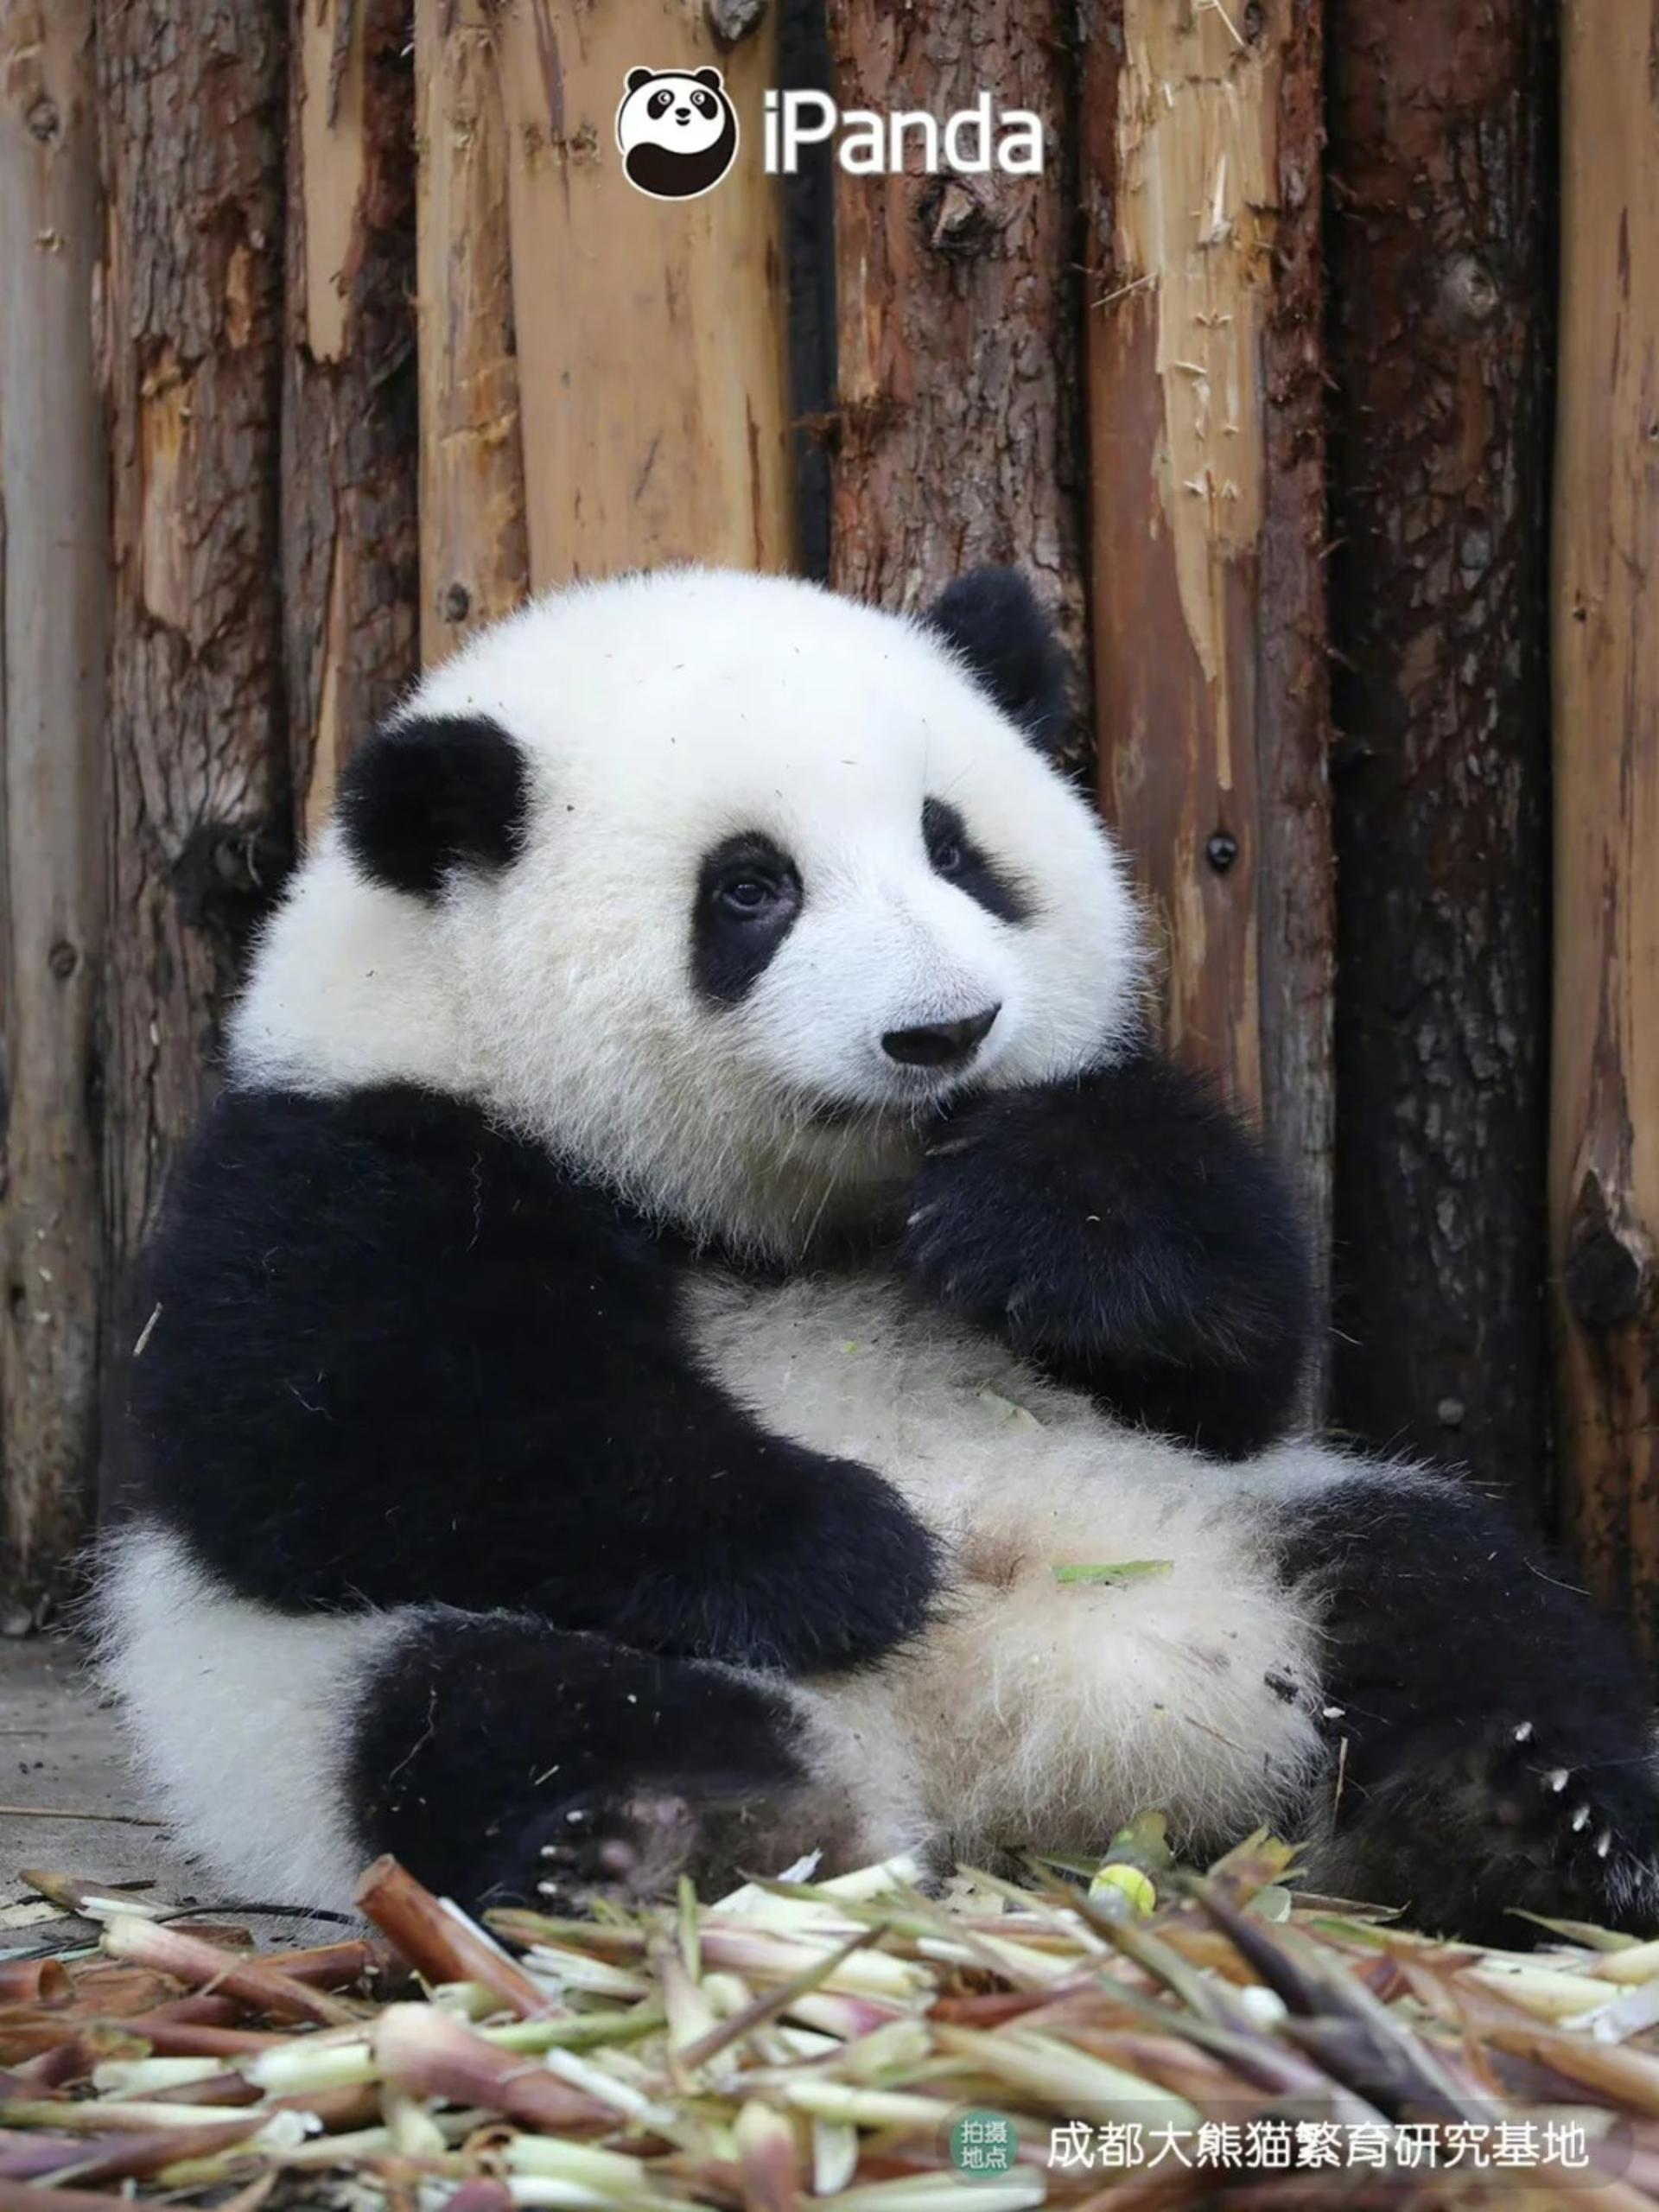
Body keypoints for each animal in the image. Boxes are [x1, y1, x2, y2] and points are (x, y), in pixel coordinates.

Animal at [97, 565, 1659, 1943]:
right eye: (750, 891)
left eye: (956, 850)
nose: (943, 1033)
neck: (790, 1220)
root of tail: (1041, 1762)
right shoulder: (346, 1151)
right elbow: (336, 1438)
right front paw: (849, 1551)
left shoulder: (1146, 1242)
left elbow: (1241, 1349)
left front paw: (1040, 1219)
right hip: (329, 1684)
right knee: (493, 1703)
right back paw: (678, 1840)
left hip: (1242, 1532)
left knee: (1456, 1595)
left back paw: (1538, 1817)